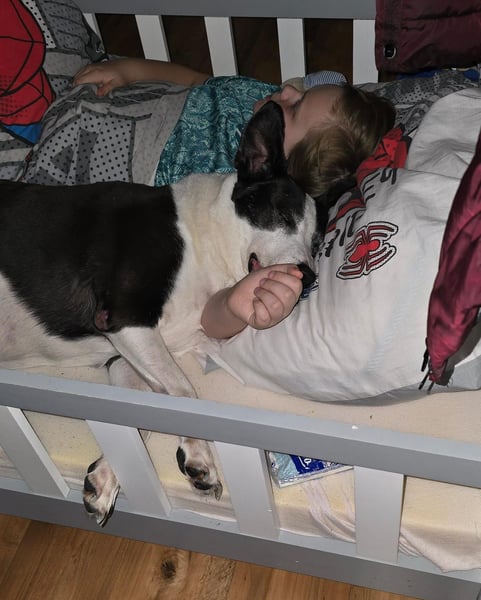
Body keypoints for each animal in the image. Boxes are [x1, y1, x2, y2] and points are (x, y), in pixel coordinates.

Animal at [0, 101, 318, 525]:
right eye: (281, 216)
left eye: (316, 241)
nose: (309, 276)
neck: (199, 236)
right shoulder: (125, 317)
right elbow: (183, 393)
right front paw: (199, 457)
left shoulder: (123, 352)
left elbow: (141, 413)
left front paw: (105, 477)